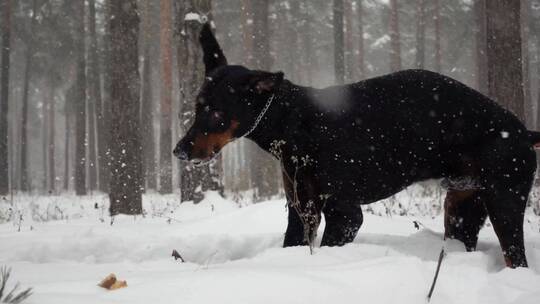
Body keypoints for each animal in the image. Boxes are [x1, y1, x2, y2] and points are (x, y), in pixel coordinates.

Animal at [174, 22, 540, 268]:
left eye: (217, 112)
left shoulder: (345, 213)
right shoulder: (300, 208)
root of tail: (524, 132)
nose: (179, 150)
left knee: (516, 257)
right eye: (196, 106)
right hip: (462, 208)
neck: (296, 122)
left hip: (504, 201)